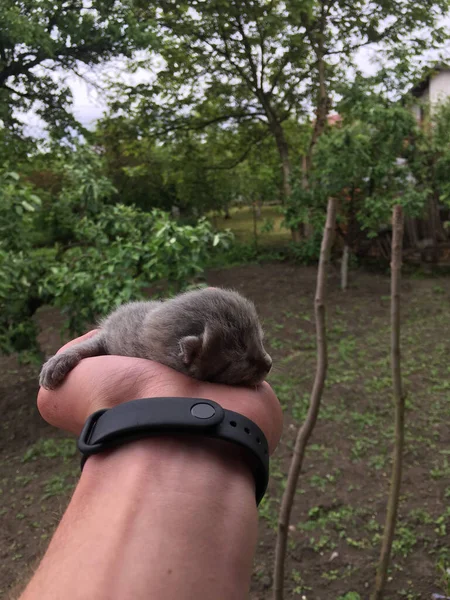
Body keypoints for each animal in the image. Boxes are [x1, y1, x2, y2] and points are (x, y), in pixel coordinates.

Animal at [38, 288, 270, 392]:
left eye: (259, 340)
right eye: (241, 362)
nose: (268, 364)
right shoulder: (111, 334)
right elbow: (91, 344)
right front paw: (58, 362)